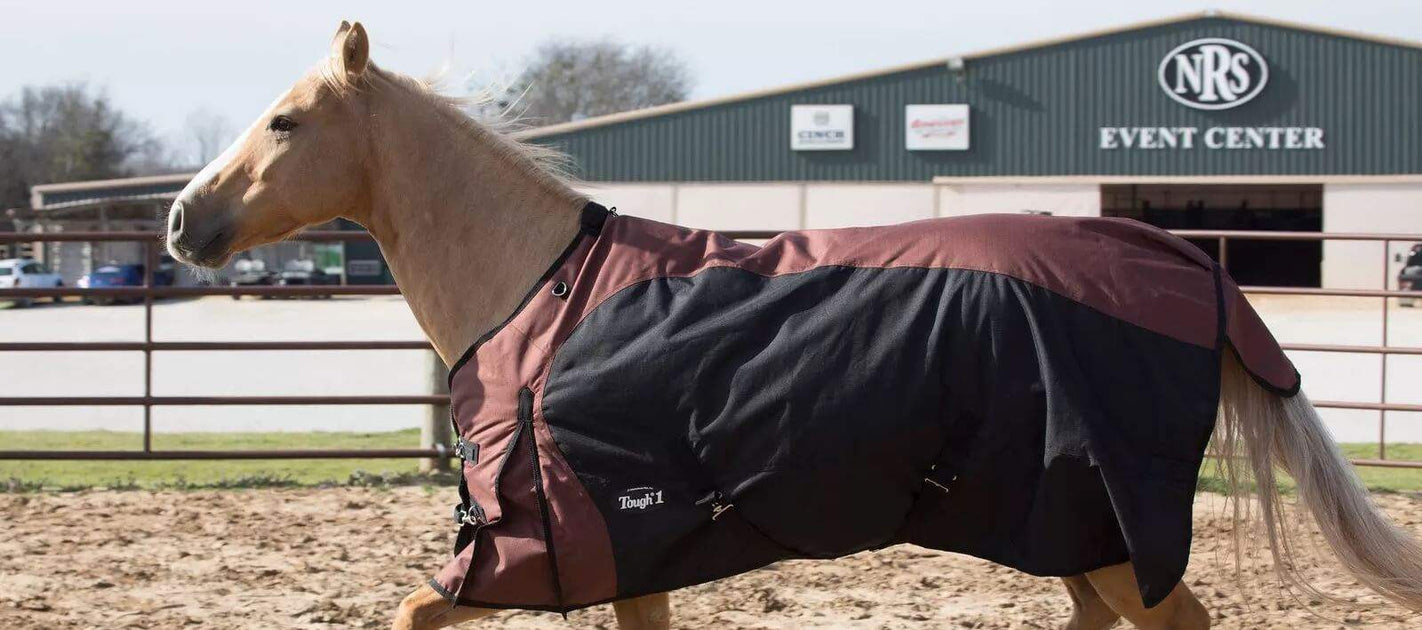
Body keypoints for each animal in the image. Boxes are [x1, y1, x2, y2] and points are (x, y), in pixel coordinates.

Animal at [164, 21, 1422, 630]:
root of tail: (1181, 264)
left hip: (1111, 535)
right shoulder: (626, 559)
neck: (538, 293)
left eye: (285, 122)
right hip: (1067, 534)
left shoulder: (525, 551)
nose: (181, 221)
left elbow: (410, 611)